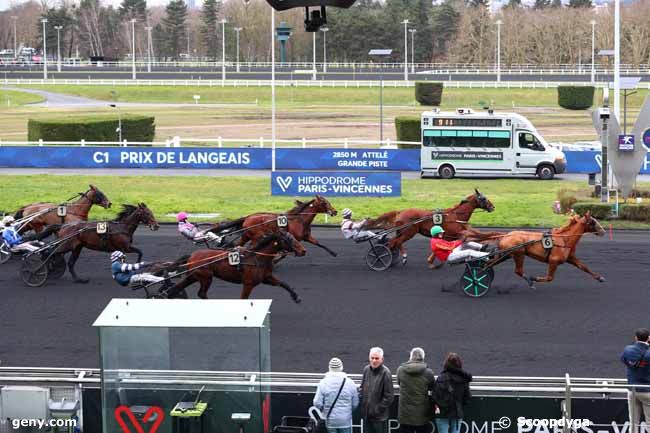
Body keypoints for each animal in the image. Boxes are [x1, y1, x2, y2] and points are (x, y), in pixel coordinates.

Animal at [167, 233, 308, 300]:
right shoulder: (248, 283)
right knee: (201, 293)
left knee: (176, 288)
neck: (257, 257)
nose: (303, 251)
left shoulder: (266, 278)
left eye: (294, 237)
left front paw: (296, 297)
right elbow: (243, 298)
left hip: (194, 276)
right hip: (206, 277)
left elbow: (283, 284)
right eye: (289, 239)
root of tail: (192, 256)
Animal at [362, 189, 494, 264]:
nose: (493, 207)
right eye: (484, 198)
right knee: (395, 243)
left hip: (402, 232)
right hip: (409, 232)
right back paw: (391, 258)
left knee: (394, 243)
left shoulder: (454, 235)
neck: (456, 215)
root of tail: (400, 212)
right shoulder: (454, 234)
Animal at [468, 211, 604, 288]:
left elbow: (584, 267)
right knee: (517, 270)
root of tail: (506, 235)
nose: (603, 231)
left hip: (506, 254)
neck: (564, 240)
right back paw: (529, 281)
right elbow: (549, 278)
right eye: (593, 222)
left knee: (489, 264)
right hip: (519, 253)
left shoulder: (570, 258)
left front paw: (599, 278)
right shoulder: (553, 261)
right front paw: (535, 278)